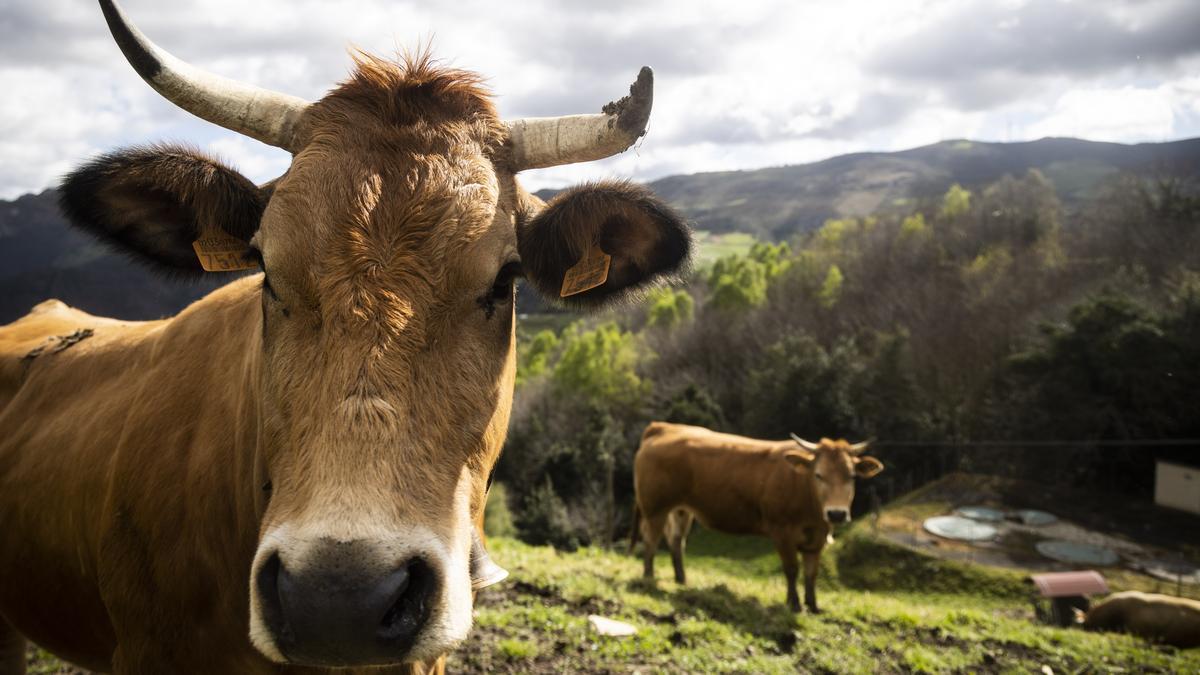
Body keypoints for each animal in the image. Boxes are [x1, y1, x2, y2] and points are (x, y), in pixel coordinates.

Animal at [628, 422, 883, 612]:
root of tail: (663, 427)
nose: (836, 513)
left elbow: (812, 573)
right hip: (655, 507)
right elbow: (792, 568)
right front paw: (794, 604)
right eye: (818, 475)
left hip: (681, 509)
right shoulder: (782, 531)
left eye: (852, 476)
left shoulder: (818, 537)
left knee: (676, 540)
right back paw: (648, 577)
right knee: (650, 540)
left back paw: (681, 579)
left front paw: (813, 605)